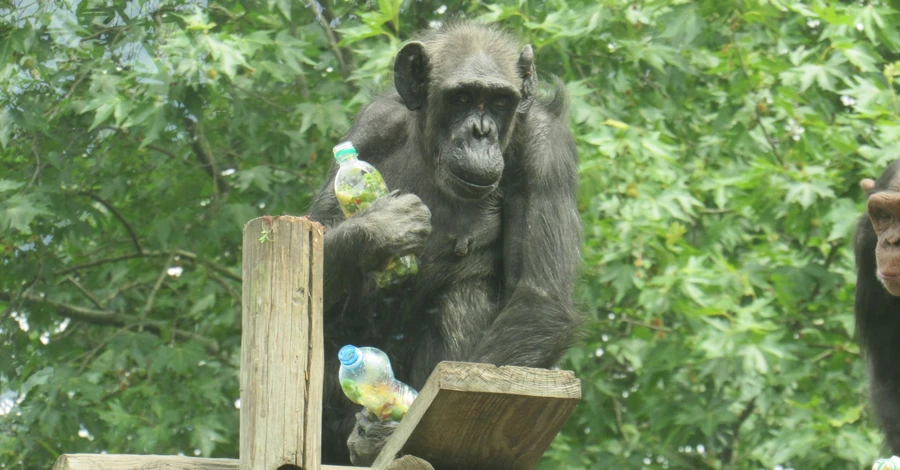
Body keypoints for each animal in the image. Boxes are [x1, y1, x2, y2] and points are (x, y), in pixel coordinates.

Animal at [306, 21, 580, 466]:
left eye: (500, 102)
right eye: (463, 97)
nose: (480, 132)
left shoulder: (546, 149)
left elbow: (538, 298)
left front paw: (384, 434)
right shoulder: (371, 126)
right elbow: (310, 243)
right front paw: (379, 226)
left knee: (463, 296)